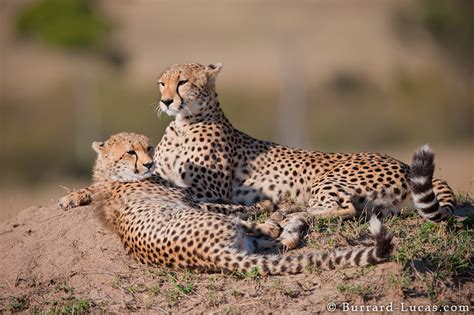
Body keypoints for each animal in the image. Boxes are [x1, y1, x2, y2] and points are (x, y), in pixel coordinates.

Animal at [58, 132, 392, 272]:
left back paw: (289, 221)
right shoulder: (194, 200)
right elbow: (238, 206)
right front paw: (267, 206)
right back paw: (280, 219)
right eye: (130, 151)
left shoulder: (195, 197)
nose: (150, 163)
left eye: (148, 147)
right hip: (221, 225)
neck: (114, 175)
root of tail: (212, 256)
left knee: (274, 241)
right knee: (263, 231)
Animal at [154, 63, 454, 222]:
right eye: (161, 83)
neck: (183, 124)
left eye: (182, 82)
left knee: (345, 208)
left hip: (328, 180)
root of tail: (403, 164)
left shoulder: (211, 189)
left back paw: (290, 211)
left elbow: (184, 192)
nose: (166, 101)